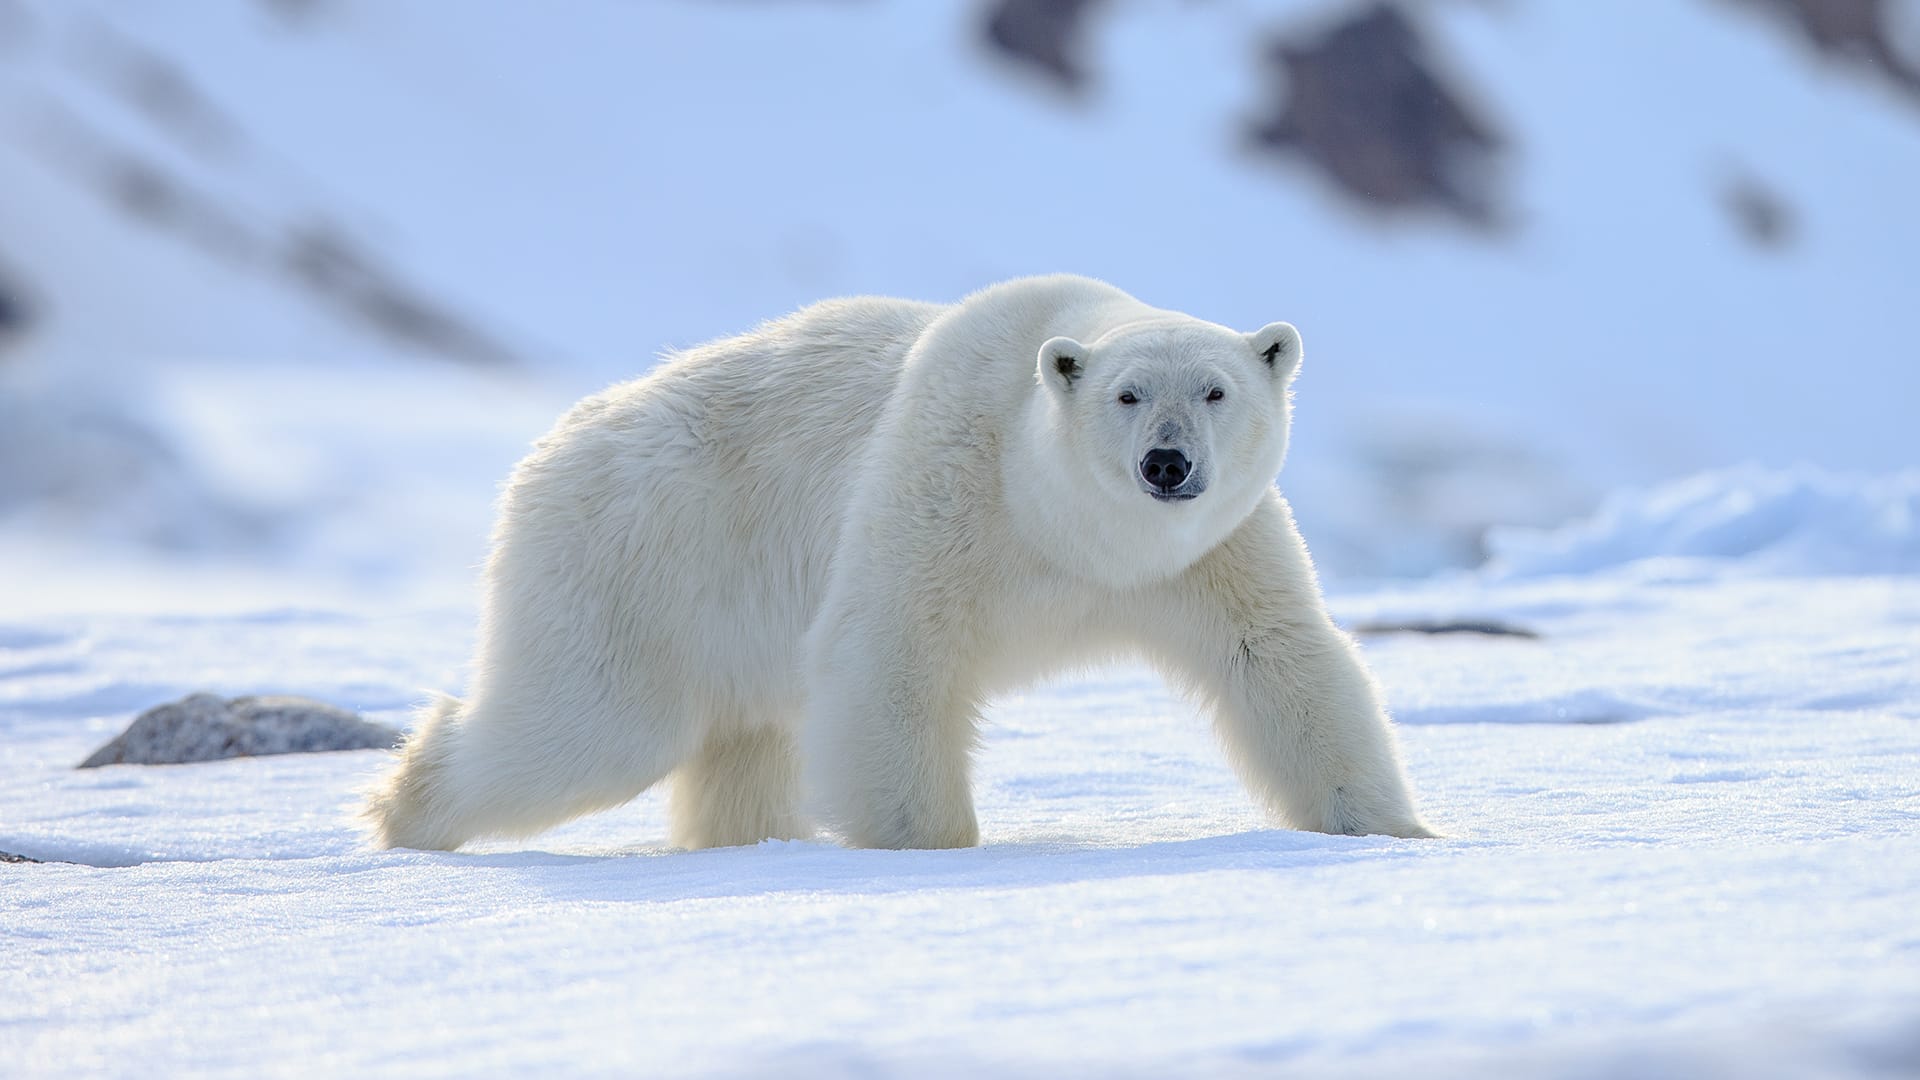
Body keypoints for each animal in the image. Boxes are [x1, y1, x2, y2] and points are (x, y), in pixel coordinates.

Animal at [366, 272, 1436, 845]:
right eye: (1127, 394)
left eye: (1216, 390)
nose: (1166, 464)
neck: (1067, 530)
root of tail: (552, 446)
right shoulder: (945, 487)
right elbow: (891, 655)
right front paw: (931, 846)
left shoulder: (1209, 554)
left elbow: (1280, 659)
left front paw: (1395, 830)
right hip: (638, 558)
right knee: (587, 727)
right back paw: (405, 810)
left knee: (741, 745)